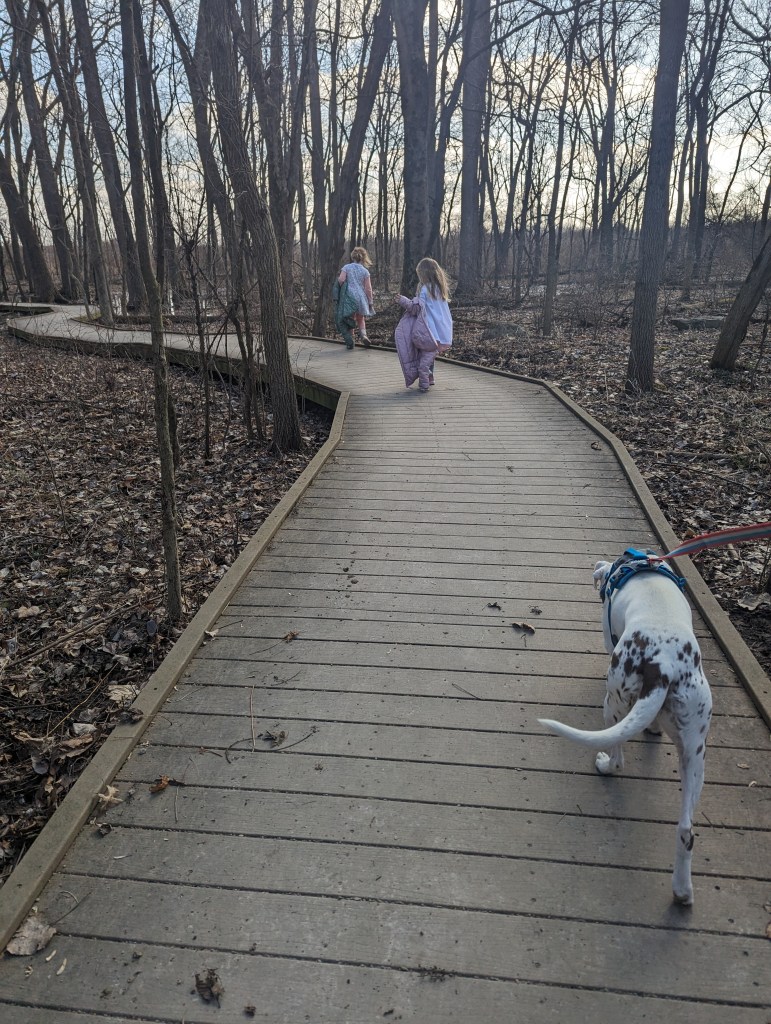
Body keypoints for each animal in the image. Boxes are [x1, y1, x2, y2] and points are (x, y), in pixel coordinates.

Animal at [540, 552, 708, 905]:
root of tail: (663, 665)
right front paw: (654, 728)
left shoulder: (608, 635)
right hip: (695, 752)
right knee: (686, 830)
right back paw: (682, 891)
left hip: (614, 700)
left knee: (618, 757)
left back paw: (605, 765)